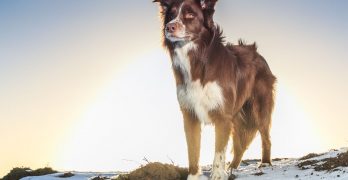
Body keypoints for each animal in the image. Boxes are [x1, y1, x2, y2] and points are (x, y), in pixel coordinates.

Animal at [154, 0, 276, 179]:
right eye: (171, 14)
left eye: (190, 14)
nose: (169, 27)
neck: (197, 59)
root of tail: (257, 53)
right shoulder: (190, 115)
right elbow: (193, 151)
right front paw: (193, 176)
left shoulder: (222, 116)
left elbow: (219, 151)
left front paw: (218, 174)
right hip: (237, 115)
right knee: (239, 144)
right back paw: (233, 167)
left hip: (259, 109)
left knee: (266, 138)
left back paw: (265, 163)